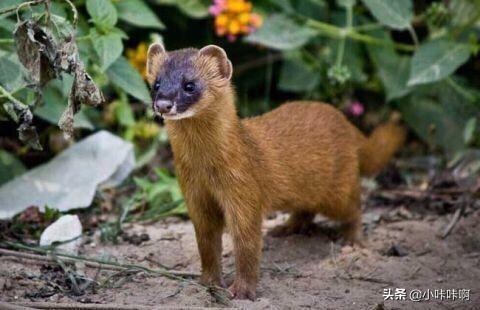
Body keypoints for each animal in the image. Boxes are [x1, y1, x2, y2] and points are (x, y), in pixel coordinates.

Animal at [145, 43, 404, 300]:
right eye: (156, 83)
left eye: (190, 85)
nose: (163, 104)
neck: (204, 168)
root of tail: (345, 122)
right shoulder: (195, 196)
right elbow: (206, 243)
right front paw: (209, 281)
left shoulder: (243, 190)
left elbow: (247, 244)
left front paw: (242, 290)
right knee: (306, 210)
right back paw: (286, 227)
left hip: (338, 189)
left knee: (354, 206)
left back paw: (352, 240)